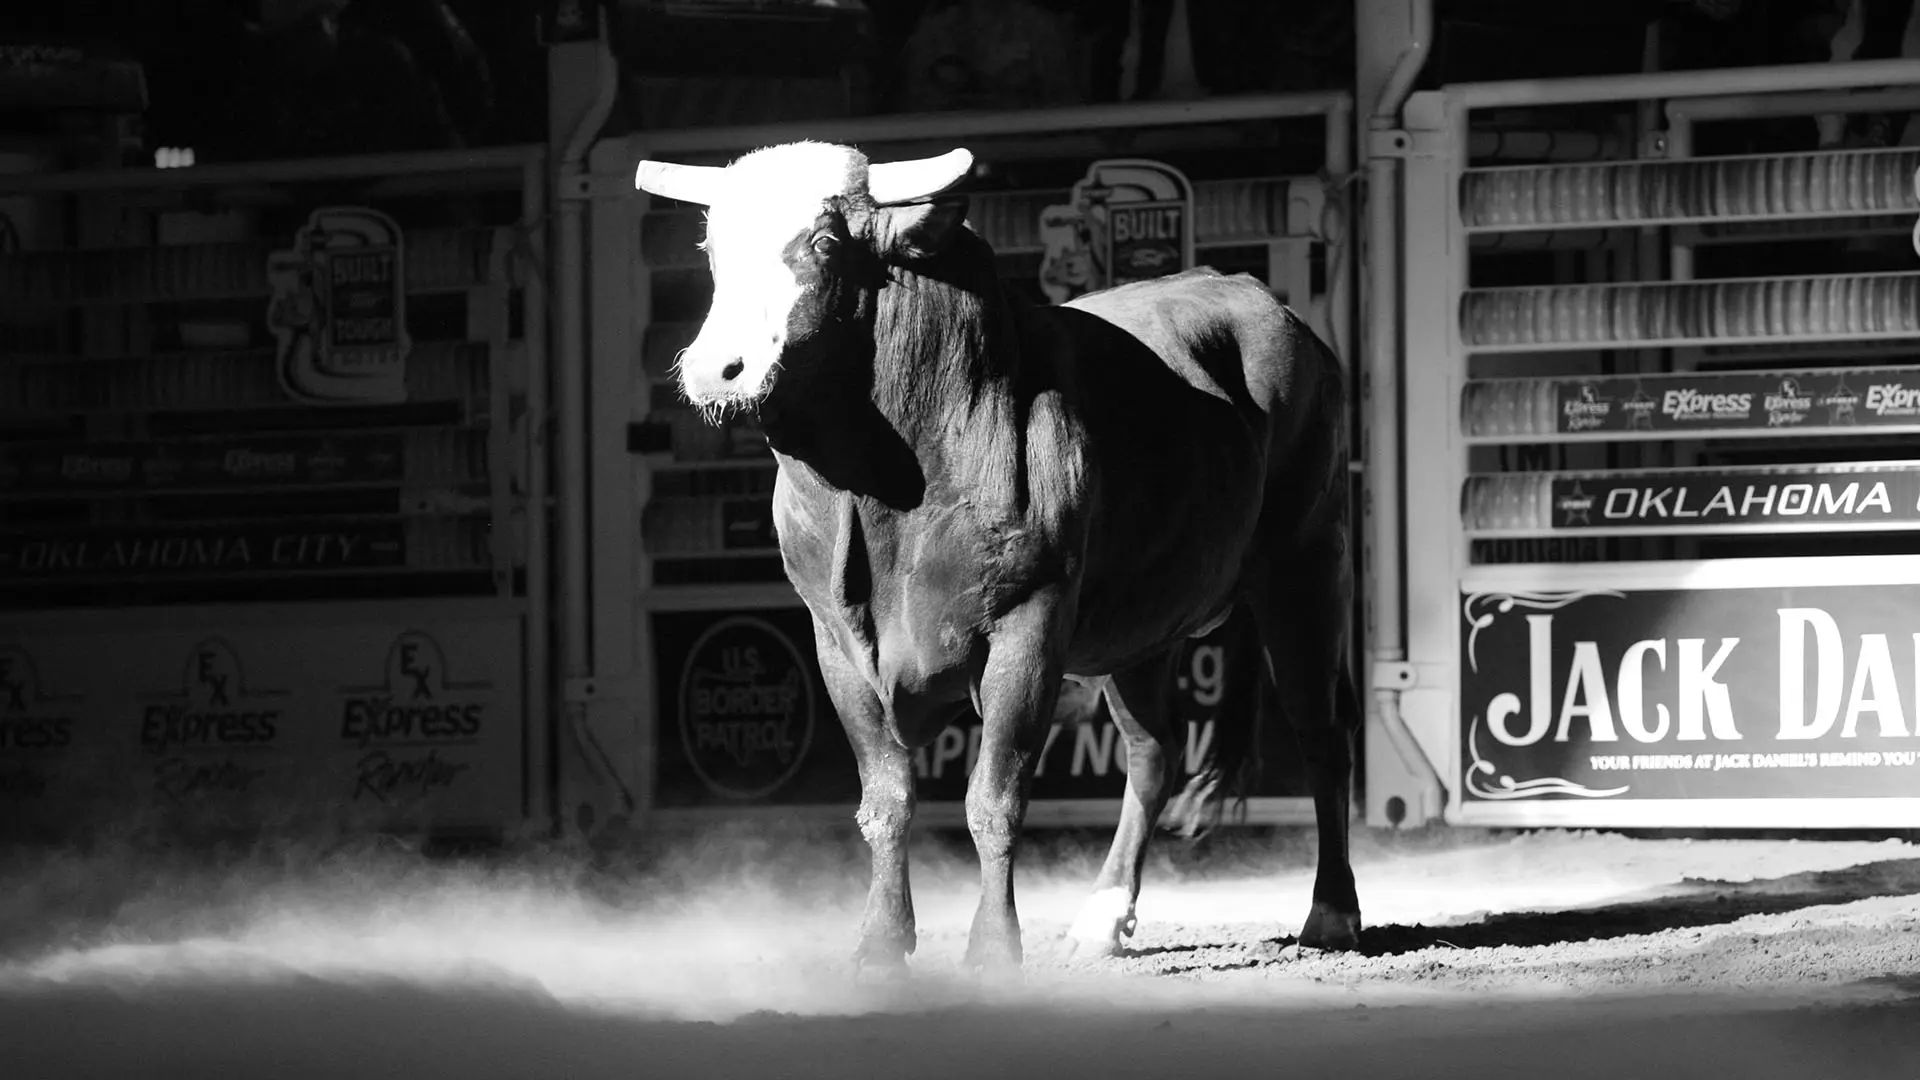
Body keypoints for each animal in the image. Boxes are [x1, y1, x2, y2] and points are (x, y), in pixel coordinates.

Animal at [634, 141, 1362, 974]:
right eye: (713, 252)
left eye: (823, 242)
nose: (716, 369)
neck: (888, 493)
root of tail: (1255, 297)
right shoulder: (835, 643)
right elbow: (886, 800)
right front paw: (881, 941)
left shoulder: (1027, 625)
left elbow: (994, 796)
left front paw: (991, 949)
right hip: (1141, 629)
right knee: (1153, 754)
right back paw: (1102, 917)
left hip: (1307, 568)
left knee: (1322, 733)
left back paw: (1333, 912)